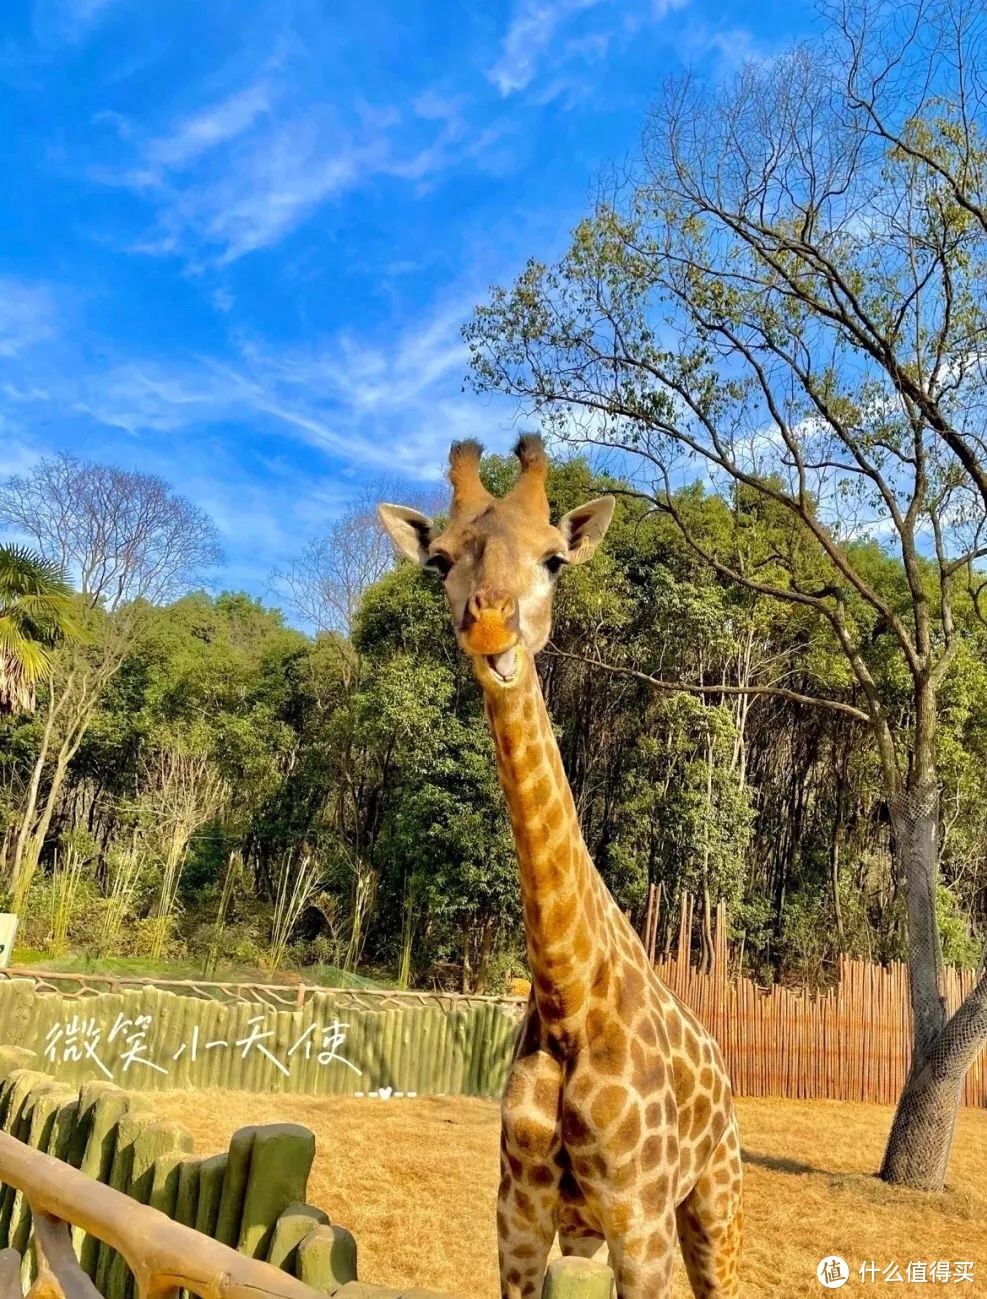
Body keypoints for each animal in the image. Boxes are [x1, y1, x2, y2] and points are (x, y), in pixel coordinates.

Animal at [376, 439, 737, 1299]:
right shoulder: (519, 1209)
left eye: (553, 559)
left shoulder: (640, 1222)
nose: (489, 624)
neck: (568, 996)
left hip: (714, 1201)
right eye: (439, 559)